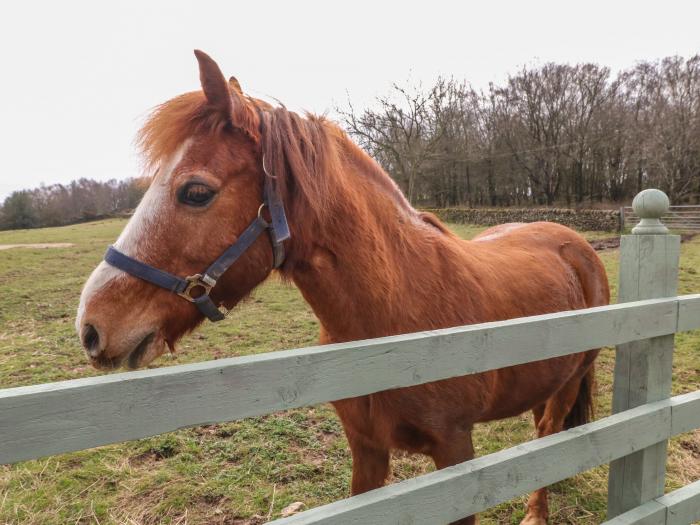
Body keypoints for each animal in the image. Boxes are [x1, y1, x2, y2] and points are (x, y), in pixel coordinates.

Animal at [78, 50, 608, 524]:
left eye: (195, 192)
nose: (92, 326)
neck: (398, 313)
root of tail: (575, 242)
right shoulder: (365, 447)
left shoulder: (454, 450)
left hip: (571, 379)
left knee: (548, 429)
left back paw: (535, 512)